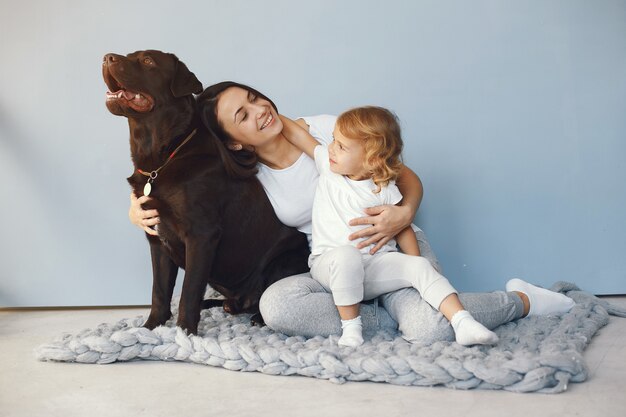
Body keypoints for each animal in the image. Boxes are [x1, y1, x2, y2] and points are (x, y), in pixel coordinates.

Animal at [102, 50, 310, 334]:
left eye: (147, 61)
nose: (106, 57)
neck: (162, 159)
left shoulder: (201, 234)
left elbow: (189, 291)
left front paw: (184, 334)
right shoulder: (156, 237)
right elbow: (159, 291)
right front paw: (150, 328)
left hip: (283, 261)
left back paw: (257, 317)